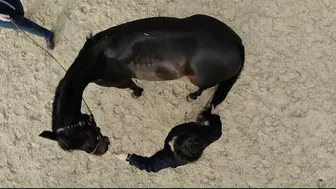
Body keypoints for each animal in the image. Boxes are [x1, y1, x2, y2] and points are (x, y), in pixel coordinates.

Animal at [39, 14, 245, 155]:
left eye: (87, 141)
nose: (104, 149)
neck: (98, 58)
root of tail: (237, 44)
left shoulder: (120, 81)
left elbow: (132, 86)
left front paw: (137, 93)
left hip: (200, 79)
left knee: (204, 87)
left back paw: (193, 95)